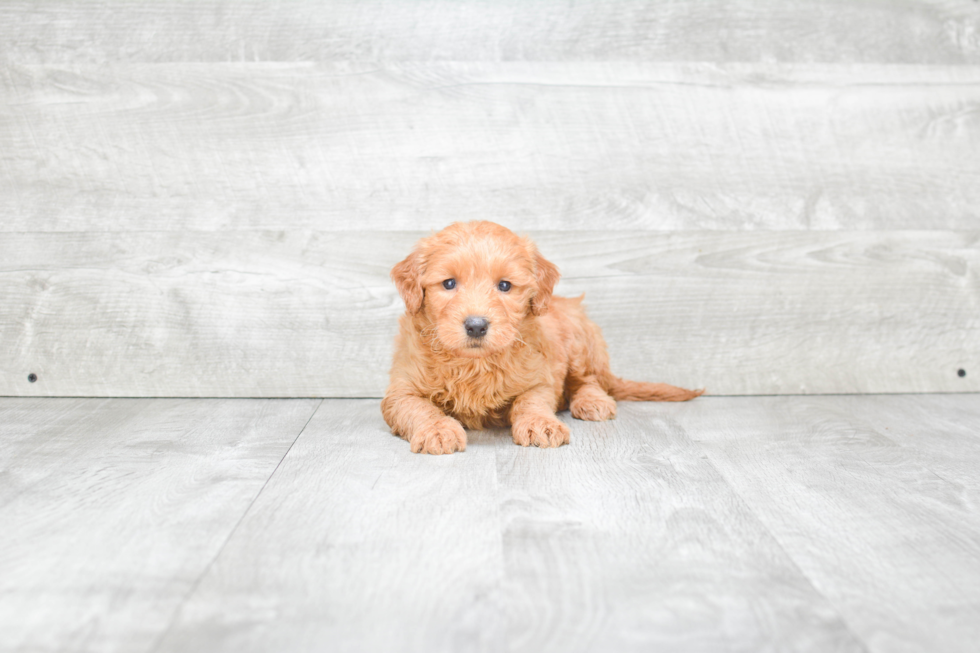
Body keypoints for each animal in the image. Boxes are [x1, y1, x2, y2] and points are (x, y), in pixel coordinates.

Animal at [382, 220, 704, 454]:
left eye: (505, 285)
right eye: (448, 283)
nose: (476, 326)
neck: (474, 363)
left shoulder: (538, 378)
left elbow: (531, 401)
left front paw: (541, 424)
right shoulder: (400, 390)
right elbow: (419, 407)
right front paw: (438, 429)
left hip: (580, 339)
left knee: (588, 381)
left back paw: (592, 401)